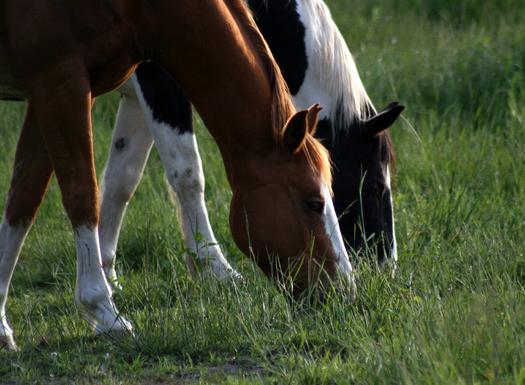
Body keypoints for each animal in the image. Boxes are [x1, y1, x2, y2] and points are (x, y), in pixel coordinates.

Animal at [1, 0, 352, 350]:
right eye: (313, 203)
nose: (345, 291)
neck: (136, 9)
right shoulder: (62, 85)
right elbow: (83, 195)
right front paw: (104, 311)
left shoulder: (45, 94)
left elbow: (23, 202)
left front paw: (2, 327)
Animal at [97, 0, 402, 290]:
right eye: (375, 186)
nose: (386, 269)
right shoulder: (158, 80)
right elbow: (187, 174)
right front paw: (216, 271)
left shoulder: (137, 98)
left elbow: (121, 180)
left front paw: (106, 275)